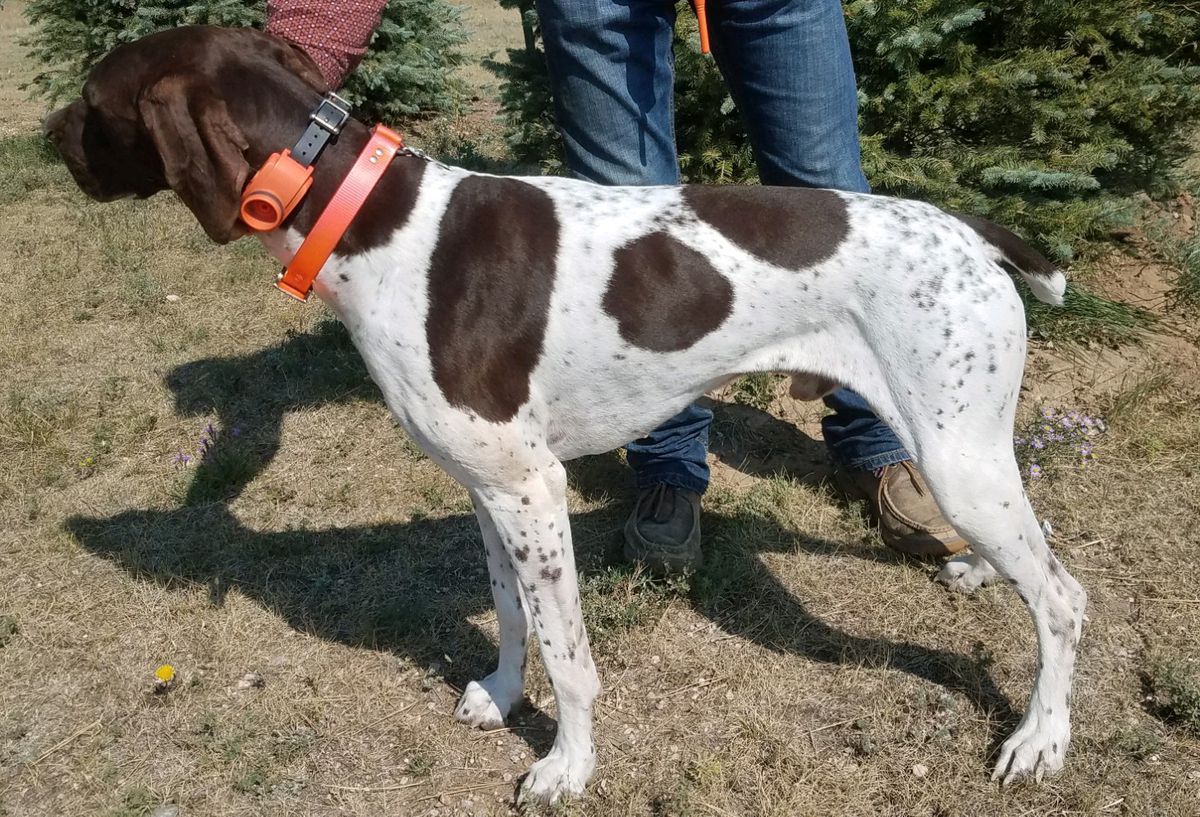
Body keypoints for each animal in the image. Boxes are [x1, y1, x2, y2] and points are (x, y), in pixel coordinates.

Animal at [44, 23, 1089, 801]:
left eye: (94, 101)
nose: (49, 133)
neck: (369, 219)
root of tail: (970, 232)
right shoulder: (487, 489)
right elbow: (512, 614)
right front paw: (505, 695)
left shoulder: (533, 491)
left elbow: (571, 652)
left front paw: (565, 765)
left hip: (957, 455)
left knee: (1063, 597)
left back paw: (1040, 737)